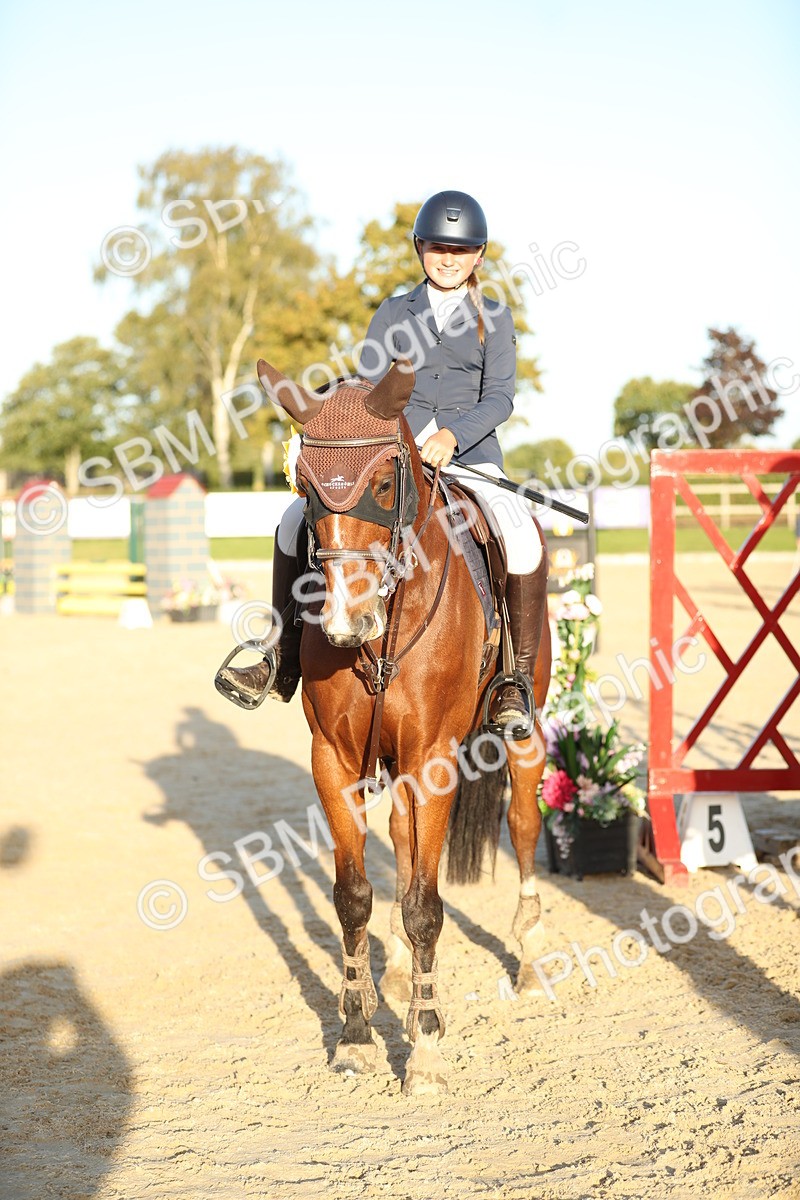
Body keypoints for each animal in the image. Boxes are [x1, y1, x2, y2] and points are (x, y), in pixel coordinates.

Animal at [256, 356, 551, 1096]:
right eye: (306, 489)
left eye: (385, 484)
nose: (342, 622)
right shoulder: (333, 759)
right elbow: (353, 896)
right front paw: (358, 1034)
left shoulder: (431, 758)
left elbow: (427, 905)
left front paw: (428, 1047)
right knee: (400, 839)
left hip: (525, 731)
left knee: (523, 825)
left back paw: (532, 960)